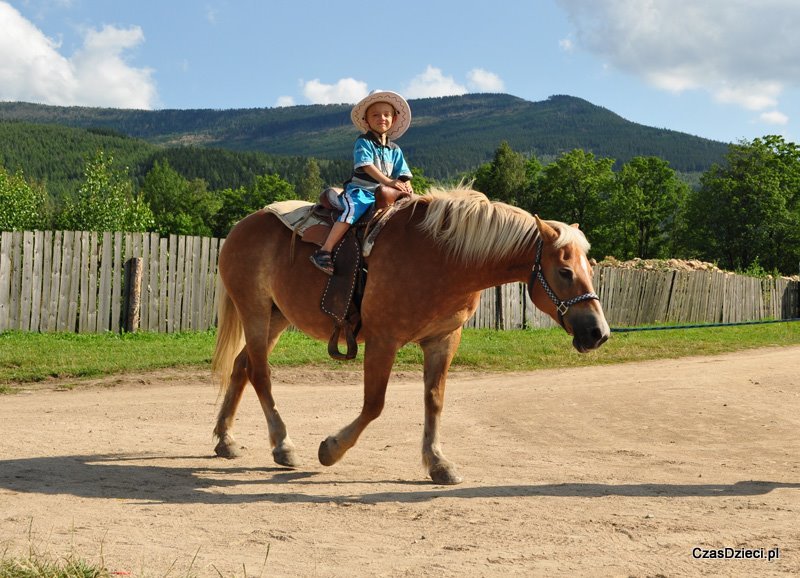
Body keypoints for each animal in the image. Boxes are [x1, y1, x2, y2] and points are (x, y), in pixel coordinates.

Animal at [209, 188, 608, 482]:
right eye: (565, 272)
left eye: (590, 268)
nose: (598, 333)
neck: (443, 257)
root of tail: (243, 225)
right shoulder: (383, 340)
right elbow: (374, 404)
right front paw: (331, 449)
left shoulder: (443, 340)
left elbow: (434, 400)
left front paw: (438, 462)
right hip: (255, 311)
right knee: (260, 373)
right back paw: (283, 445)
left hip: (276, 317)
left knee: (242, 366)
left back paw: (226, 439)